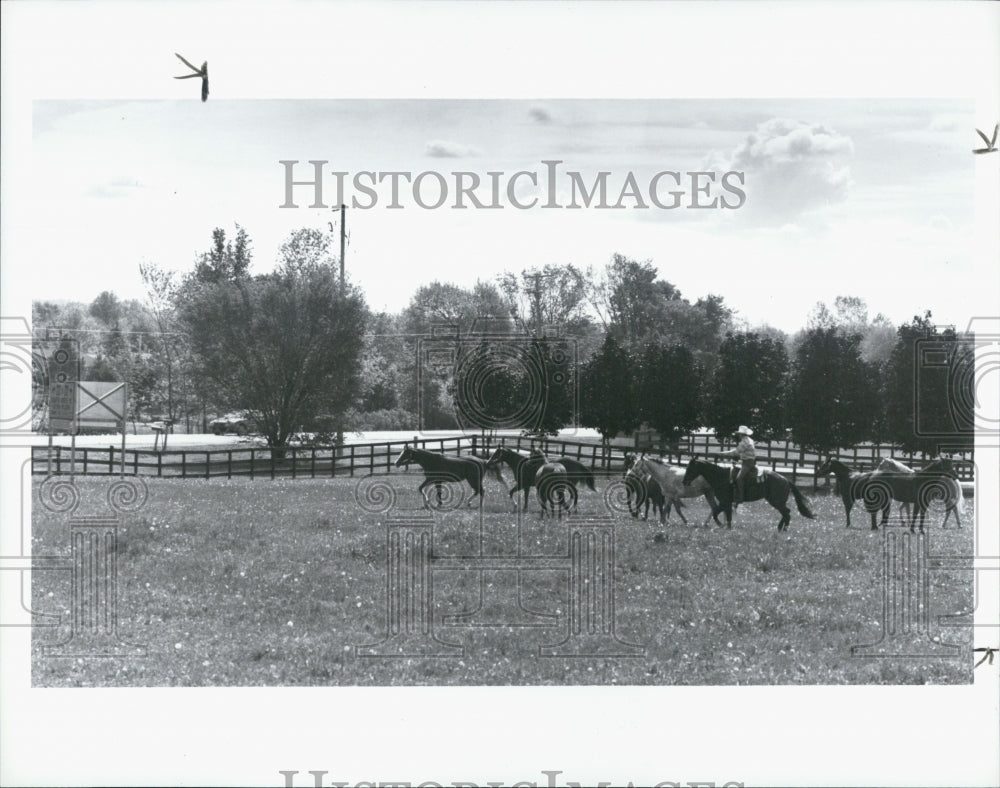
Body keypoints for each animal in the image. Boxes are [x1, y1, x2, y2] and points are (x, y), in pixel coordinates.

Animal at [684, 456, 816, 528]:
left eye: (690, 468)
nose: (684, 481)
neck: (722, 477)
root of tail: (786, 480)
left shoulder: (724, 501)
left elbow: (717, 513)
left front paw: (721, 525)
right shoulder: (726, 503)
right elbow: (726, 515)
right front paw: (727, 527)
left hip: (776, 501)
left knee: (786, 513)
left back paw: (783, 529)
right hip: (777, 502)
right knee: (786, 513)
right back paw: (780, 528)